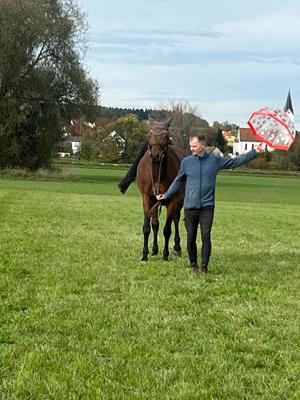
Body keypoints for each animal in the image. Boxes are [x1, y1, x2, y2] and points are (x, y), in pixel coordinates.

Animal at [136, 118, 185, 262]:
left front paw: (165, 254)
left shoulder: (173, 200)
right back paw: (154, 249)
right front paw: (145, 254)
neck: (158, 173)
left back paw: (177, 247)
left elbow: (167, 229)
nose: (155, 155)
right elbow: (148, 227)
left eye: (166, 136)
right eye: (149, 134)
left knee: (176, 219)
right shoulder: (147, 198)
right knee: (155, 224)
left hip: (180, 201)